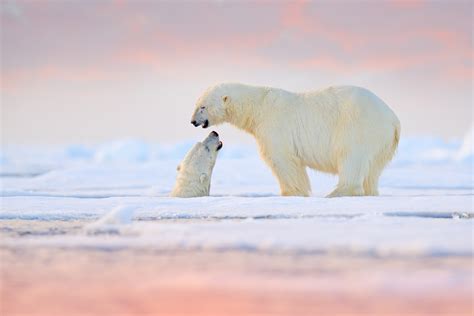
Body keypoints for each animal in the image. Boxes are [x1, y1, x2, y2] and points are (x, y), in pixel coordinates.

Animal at [189, 84, 400, 198]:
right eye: (197, 104)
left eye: (203, 107)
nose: (193, 121)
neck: (258, 106)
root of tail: (393, 119)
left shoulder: (275, 125)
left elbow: (282, 159)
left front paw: (291, 192)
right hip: (382, 142)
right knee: (373, 169)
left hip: (358, 126)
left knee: (351, 156)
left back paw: (337, 192)